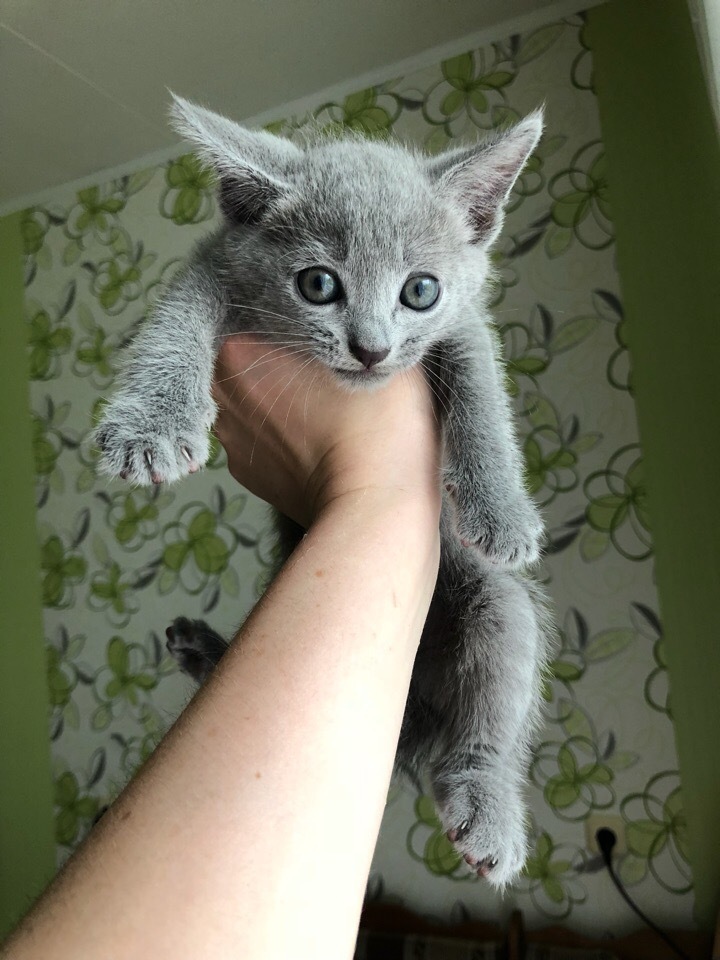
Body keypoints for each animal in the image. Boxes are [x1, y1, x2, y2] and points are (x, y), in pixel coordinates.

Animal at [95, 97, 556, 884]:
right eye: (318, 284)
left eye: (420, 290)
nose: (371, 348)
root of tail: (414, 705)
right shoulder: (216, 264)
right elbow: (175, 320)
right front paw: (150, 423)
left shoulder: (462, 322)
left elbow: (482, 389)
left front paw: (501, 509)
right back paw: (204, 651)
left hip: (492, 604)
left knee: (496, 680)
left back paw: (487, 801)